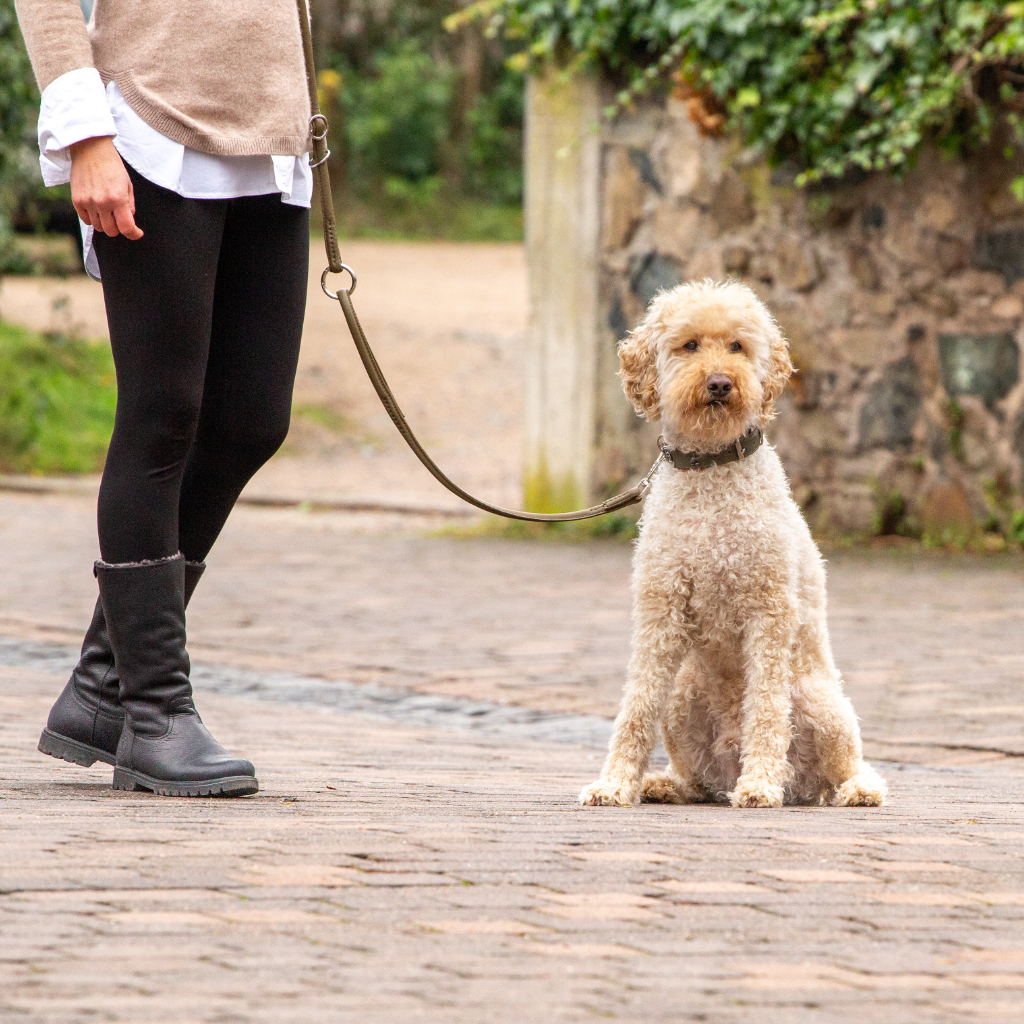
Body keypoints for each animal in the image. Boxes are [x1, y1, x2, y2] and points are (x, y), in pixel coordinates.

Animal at [585, 280, 888, 806]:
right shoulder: (660, 609)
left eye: (738, 347)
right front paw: (615, 783)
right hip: (682, 697)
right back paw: (665, 784)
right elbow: (637, 705)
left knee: (844, 767)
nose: (721, 383)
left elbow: (765, 707)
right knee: (697, 780)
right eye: (689, 345)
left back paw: (850, 789)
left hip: (820, 700)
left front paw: (760, 783)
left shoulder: (769, 612)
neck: (712, 470)